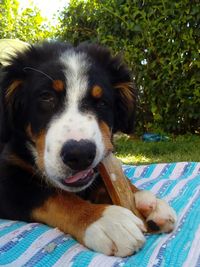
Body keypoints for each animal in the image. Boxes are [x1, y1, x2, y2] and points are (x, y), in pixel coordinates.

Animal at [0, 42, 177, 258]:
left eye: (102, 102)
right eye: (46, 97)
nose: (80, 155)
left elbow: (106, 179)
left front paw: (146, 201)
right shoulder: (8, 177)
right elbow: (55, 197)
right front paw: (105, 220)